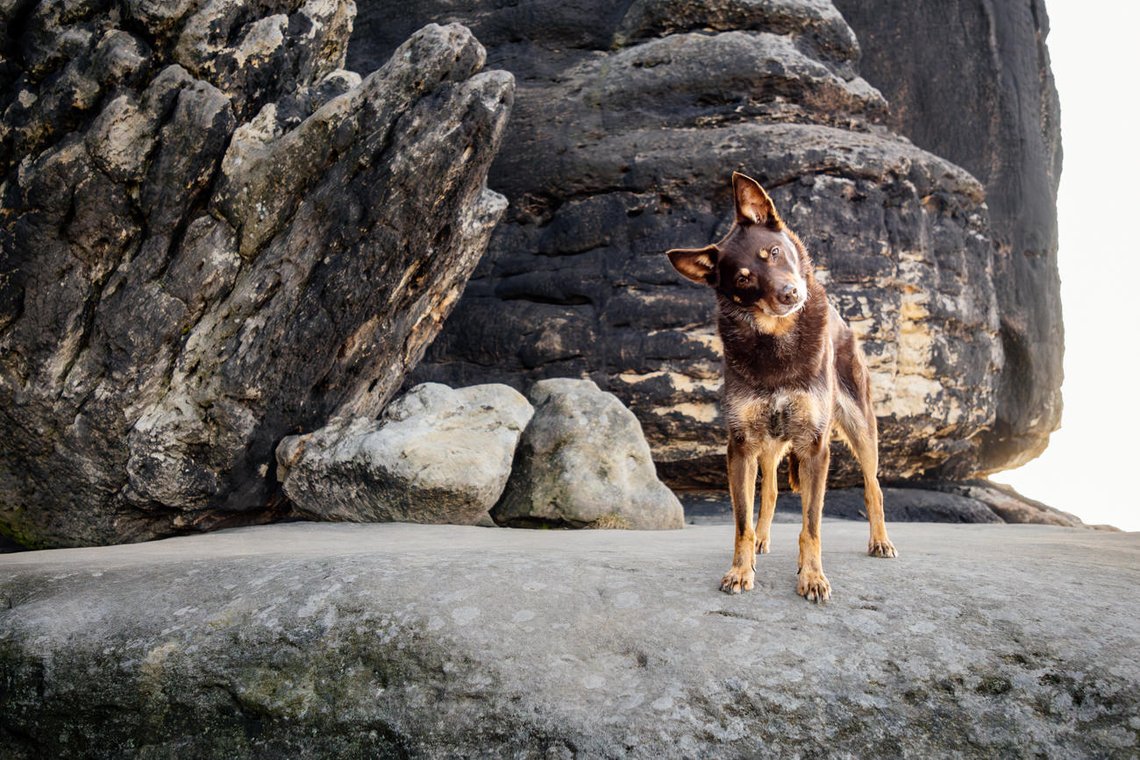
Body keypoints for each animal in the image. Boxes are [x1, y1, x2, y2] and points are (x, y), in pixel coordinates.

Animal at [665, 170, 898, 601]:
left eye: (773, 252)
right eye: (743, 279)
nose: (789, 294)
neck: (776, 342)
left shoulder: (814, 446)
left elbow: (811, 524)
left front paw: (812, 577)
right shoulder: (741, 446)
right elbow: (742, 521)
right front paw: (740, 570)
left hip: (860, 426)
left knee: (873, 486)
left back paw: (880, 541)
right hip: (769, 443)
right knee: (770, 491)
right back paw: (761, 541)